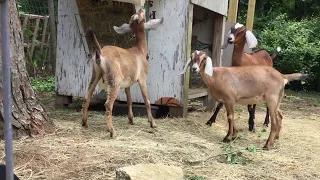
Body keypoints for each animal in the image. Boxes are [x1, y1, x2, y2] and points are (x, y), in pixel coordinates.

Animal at [81, 8, 164, 138]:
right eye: (138, 15)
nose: (141, 9)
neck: (139, 50)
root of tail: (100, 55)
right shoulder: (142, 79)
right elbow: (147, 100)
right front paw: (152, 123)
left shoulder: (127, 84)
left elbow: (129, 100)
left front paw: (131, 119)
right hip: (115, 81)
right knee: (108, 104)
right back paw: (112, 131)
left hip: (95, 75)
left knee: (86, 97)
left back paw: (84, 123)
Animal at [180, 50, 308, 149]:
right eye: (192, 57)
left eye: (203, 59)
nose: (194, 69)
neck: (215, 76)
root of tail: (282, 77)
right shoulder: (227, 101)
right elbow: (231, 116)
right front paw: (234, 134)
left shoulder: (230, 98)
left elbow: (230, 117)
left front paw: (228, 137)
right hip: (277, 100)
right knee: (280, 116)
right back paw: (275, 139)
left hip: (271, 100)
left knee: (275, 121)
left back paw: (267, 145)